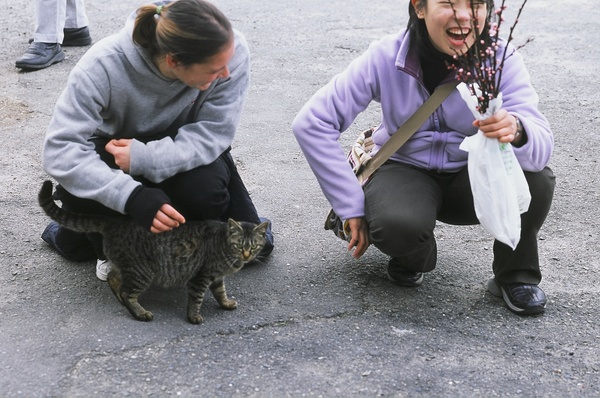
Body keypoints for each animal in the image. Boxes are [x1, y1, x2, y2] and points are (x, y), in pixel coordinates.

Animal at [38, 180, 268, 324]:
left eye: (254, 246)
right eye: (239, 246)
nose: (247, 255)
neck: (225, 249)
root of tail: (114, 221)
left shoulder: (217, 277)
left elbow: (221, 292)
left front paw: (226, 303)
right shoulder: (201, 277)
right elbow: (197, 299)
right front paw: (194, 317)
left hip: (129, 267)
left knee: (114, 278)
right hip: (143, 271)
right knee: (127, 291)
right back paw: (140, 313)